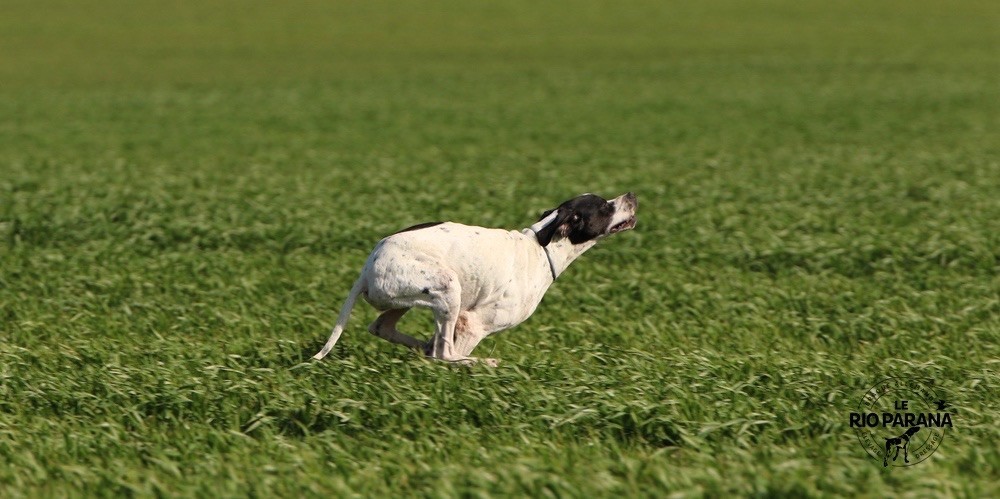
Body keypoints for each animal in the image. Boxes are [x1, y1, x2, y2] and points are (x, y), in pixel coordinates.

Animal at [312, 192, 640, 368]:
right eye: (604, 206)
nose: (632, 196)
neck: (541, 247)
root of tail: (366, 269)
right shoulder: (473, 323)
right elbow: (450, 351)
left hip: (407, 299)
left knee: (384, 327)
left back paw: (421, 348)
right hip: (447, 287)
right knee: (444, 354)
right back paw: (478, 363)